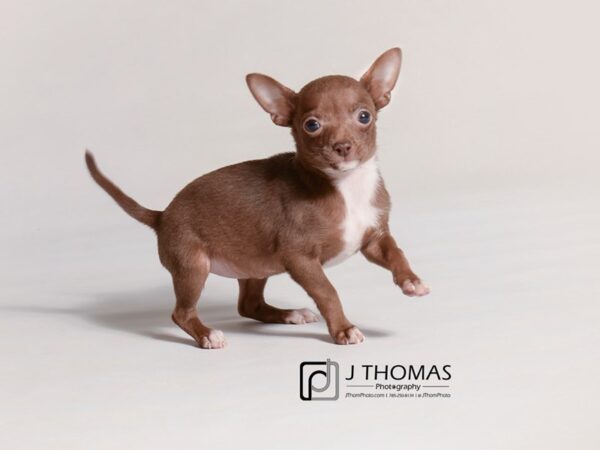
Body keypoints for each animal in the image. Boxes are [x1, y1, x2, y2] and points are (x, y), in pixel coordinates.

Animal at [86, 47, 428, 350]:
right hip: (192, 267)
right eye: (312, 125)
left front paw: (411, 280)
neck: (346, 187)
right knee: (182, 312)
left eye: (364, 116)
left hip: (254, 267)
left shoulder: (374, 238)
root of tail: (161, 215)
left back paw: (289, 315)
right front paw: (343, 329)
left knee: (248, 305)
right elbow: (327, 291)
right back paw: (207, 335)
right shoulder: (300, 258)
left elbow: (396, 253)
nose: (342, 146)